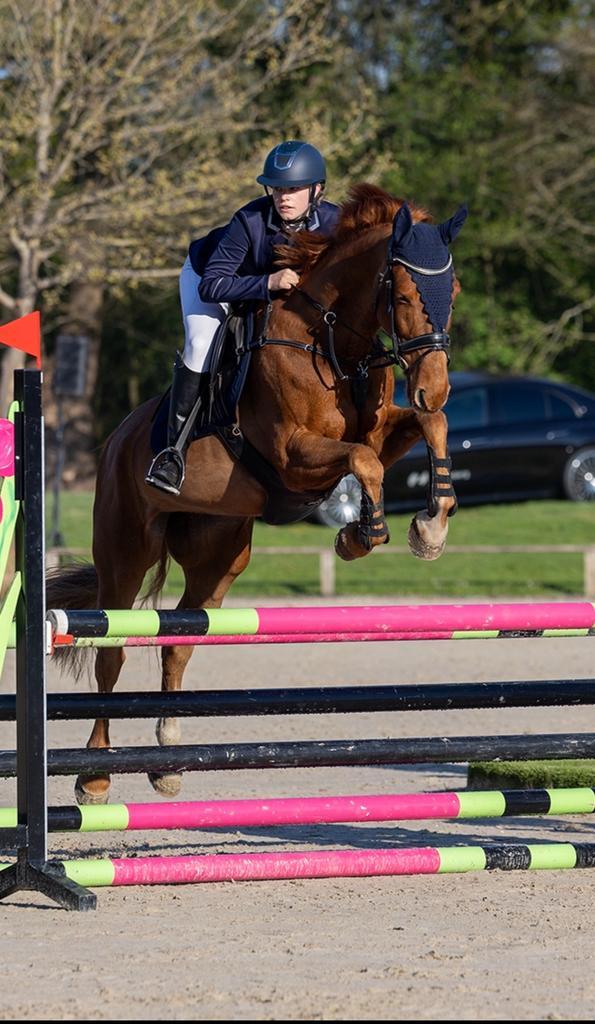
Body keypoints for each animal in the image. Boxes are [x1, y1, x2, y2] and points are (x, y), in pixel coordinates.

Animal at [47, 183, 467, 804]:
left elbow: (425, 429)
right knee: (113, 650)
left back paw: (167, 761)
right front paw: (361, 535)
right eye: (406, 293)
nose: (434, 387)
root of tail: (117, 438)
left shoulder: (382, 429)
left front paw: (428, 527)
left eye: (453, 293)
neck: (331, 338)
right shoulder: (294, 456)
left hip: (220, 553)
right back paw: (95, 775)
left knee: (179, 639)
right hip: (125, 551)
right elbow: (363, 460)